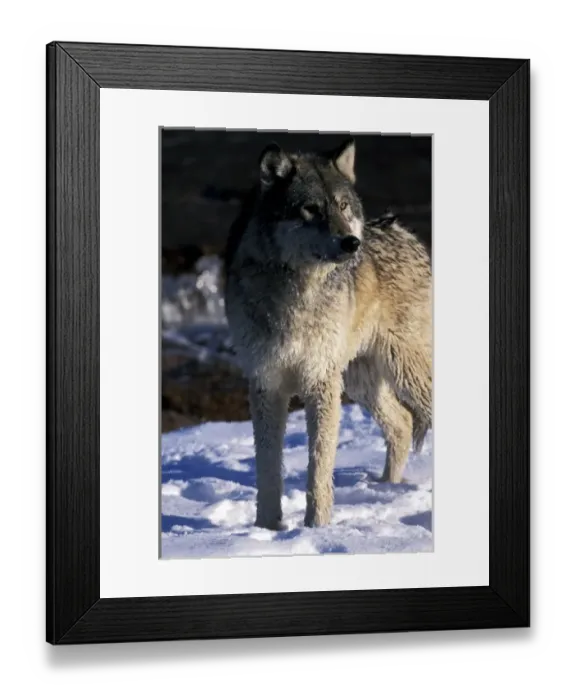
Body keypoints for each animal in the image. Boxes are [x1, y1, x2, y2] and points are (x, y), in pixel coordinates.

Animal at [224, 138, 432, 530]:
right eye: (311, 209)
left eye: (343, 206)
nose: (351, 243)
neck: (296, 294)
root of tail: (399, 229)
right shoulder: (266, 384)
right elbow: (267, 469)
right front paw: (267, 529)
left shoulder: (320, 381)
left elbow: (319, 465)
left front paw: (316, 528)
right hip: (359, 382)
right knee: (402, 423)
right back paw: (387, 488)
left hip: (403, 373)